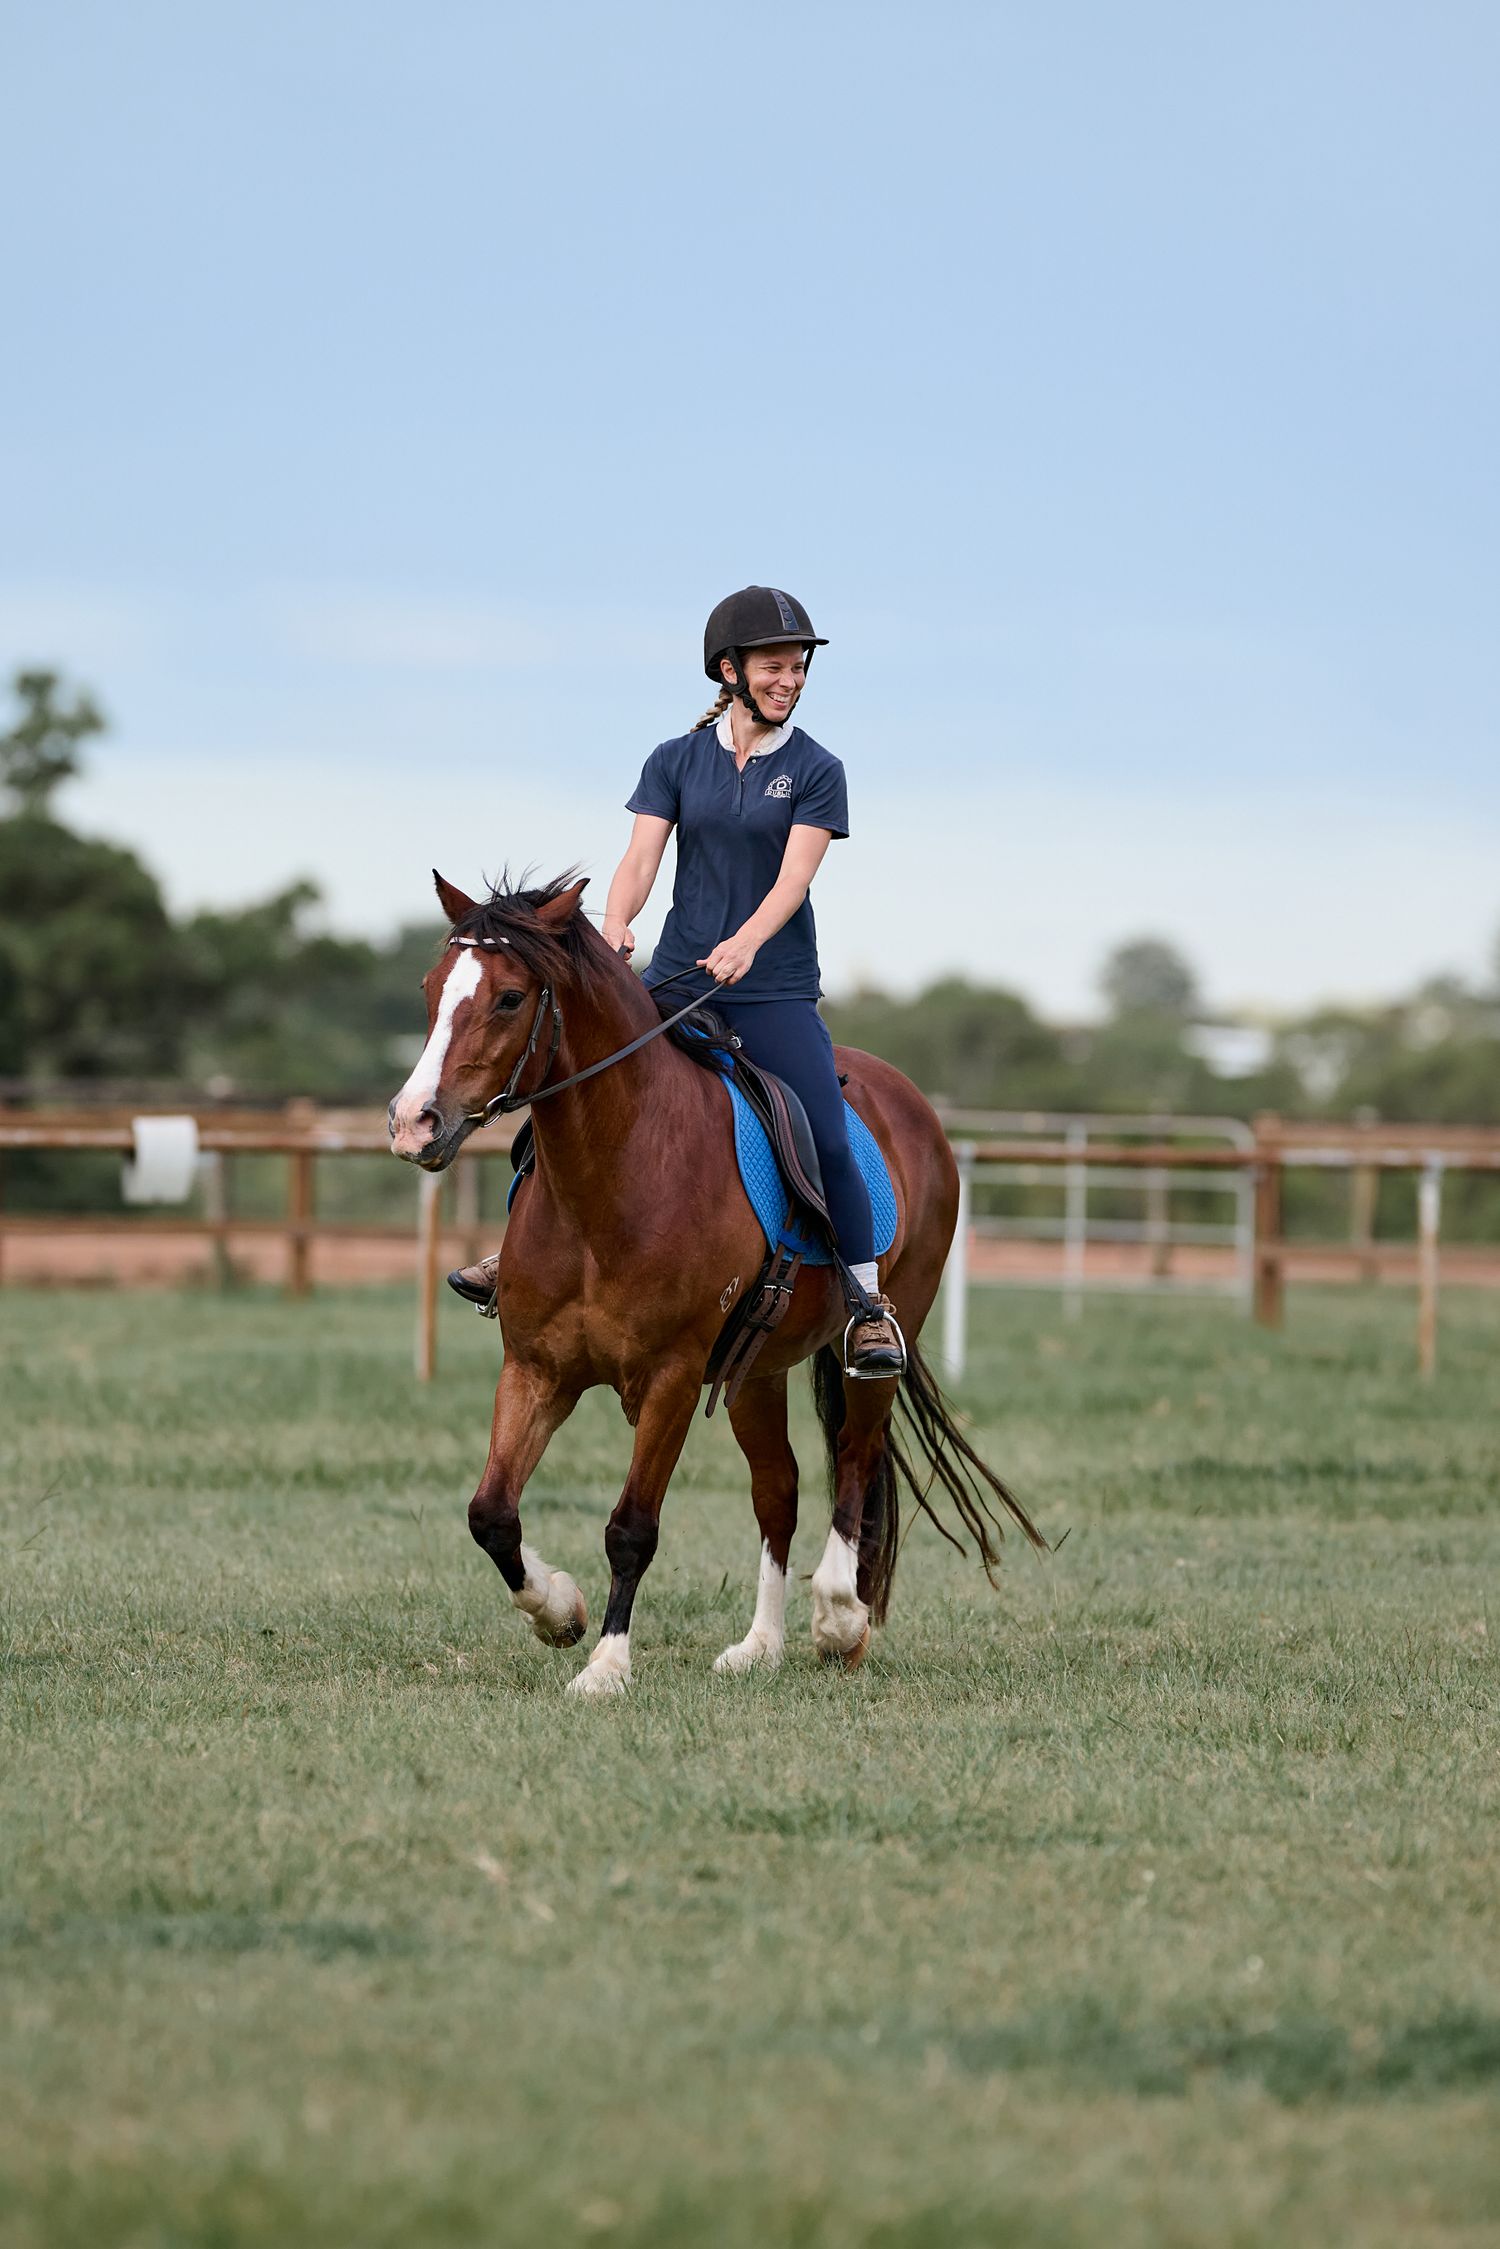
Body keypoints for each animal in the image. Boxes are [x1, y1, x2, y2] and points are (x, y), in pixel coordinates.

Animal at [388, 870, 1044, 1696]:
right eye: (430, 987)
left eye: (509, 997)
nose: (413, 1122)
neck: (612, 1175)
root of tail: (909, 1101)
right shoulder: (536, 1369)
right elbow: (491, 1513)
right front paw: (559, 1611)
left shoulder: (669, 1375)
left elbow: (632, 1527)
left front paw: (607, 1665)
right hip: (754, 1372)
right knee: (780, 1488)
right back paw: (761, 1645)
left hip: (878, 1346)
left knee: (856, 1456)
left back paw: (840, 1616)